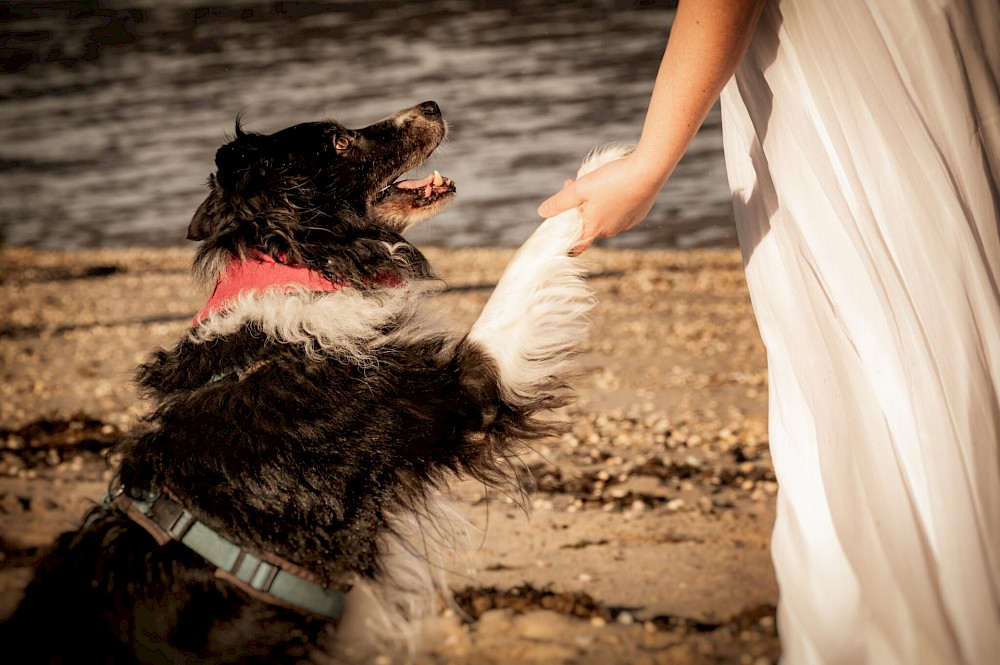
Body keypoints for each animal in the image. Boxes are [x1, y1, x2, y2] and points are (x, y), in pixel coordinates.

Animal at [3, 101, 620, 660]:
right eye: (339, 143)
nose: (432, 104)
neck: (298, 265)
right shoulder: (446, 394)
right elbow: (522, 268)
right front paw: (603, 170)